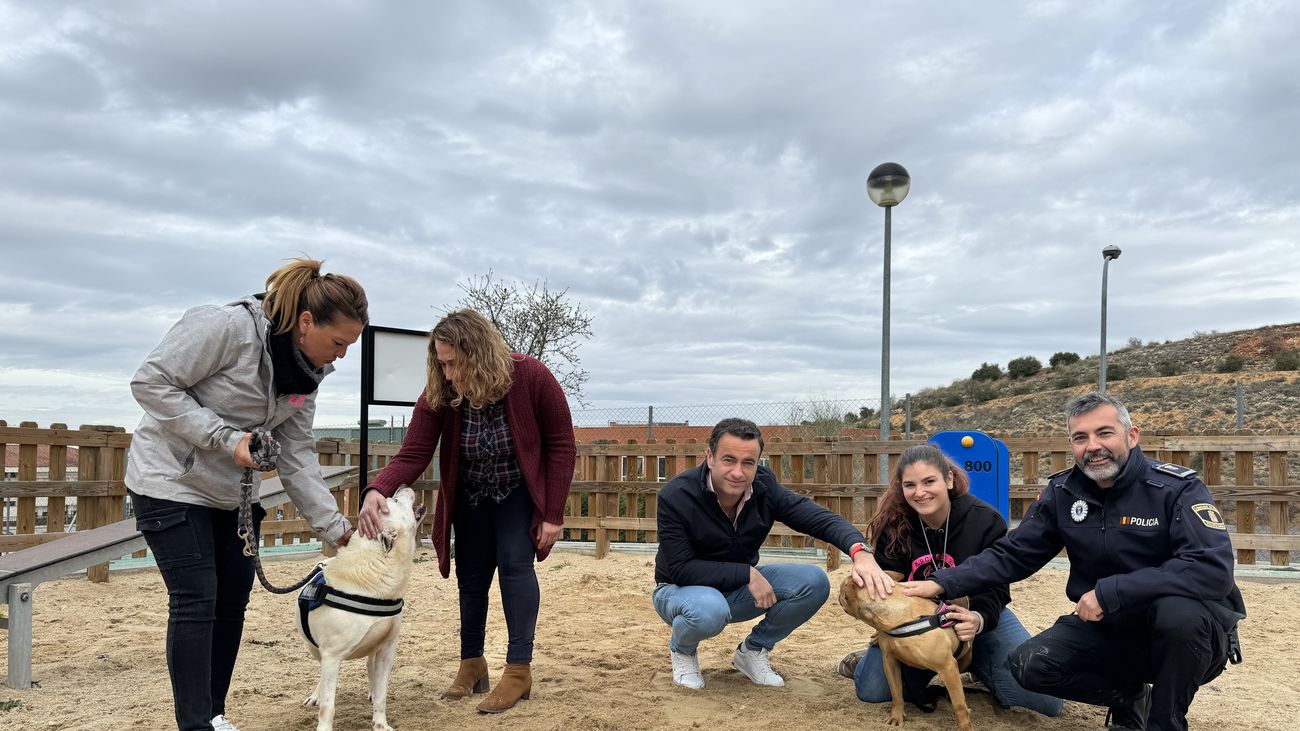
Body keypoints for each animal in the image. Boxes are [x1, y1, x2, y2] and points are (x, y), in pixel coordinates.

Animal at [297, 483, 423, 728]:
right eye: (394, 501)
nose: (404, 485)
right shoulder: (331, 656)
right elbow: (328, 705)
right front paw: (323, 725)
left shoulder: (386, 650)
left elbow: (382, 694)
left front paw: (381, 725)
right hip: (314, 648)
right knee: (321, 675)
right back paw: (316, 695)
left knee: (370, 669)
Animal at [837, 572, 972, 723]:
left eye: (842, 588)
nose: (838, 594)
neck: (900, 617)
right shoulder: (890, 661)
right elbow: (896, 693)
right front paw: (896, 716)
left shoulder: (947, 667)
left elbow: (960, 707)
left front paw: (965, 724)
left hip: (963, 662)